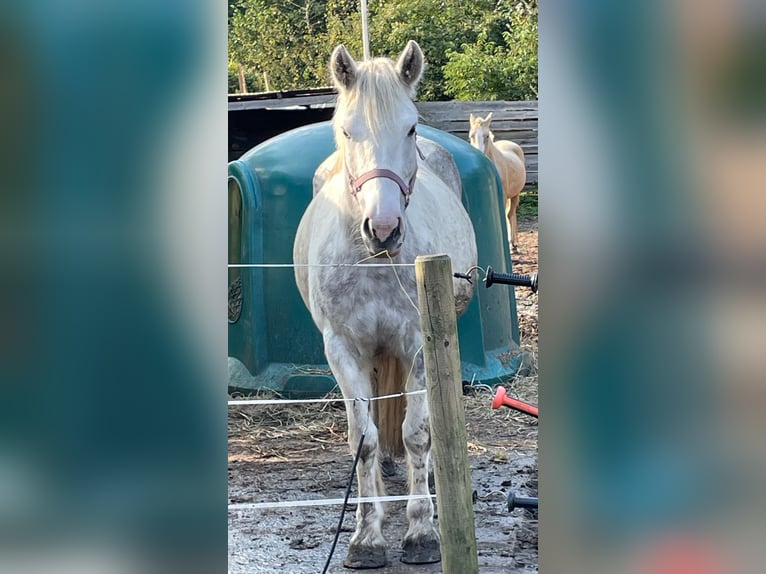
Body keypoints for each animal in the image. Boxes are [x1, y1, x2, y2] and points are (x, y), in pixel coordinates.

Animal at [296, 41, 480, 572]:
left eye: (411, 127)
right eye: (346, 130)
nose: (384, 228)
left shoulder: (418, 344)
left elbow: (418, 433)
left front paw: (421, 532)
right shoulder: (342, 350)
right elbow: (365, 440)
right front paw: (365, 538)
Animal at [468, 112, 528, 254]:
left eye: (487, 136)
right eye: (471, 135)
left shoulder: (504, 196)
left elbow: (504, 216)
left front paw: (510, 246)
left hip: (515, 194)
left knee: (510, 215)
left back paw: (513, 244)